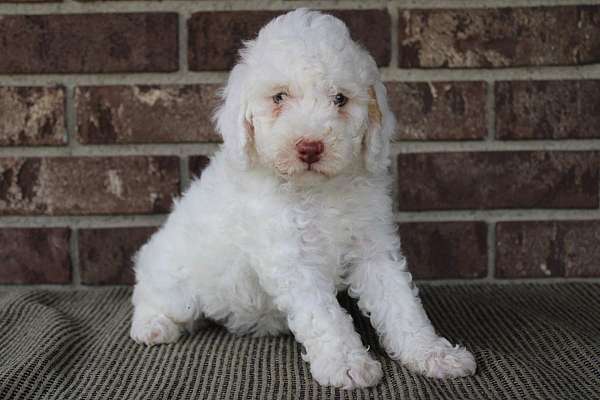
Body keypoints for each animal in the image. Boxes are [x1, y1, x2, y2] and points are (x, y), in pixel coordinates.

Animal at [129, 9, 476, 390]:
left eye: (340, 99)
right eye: (279, 97)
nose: (310, 147)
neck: (316, 190)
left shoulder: (373, 246)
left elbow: (400, 301)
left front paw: (433, 354)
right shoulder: (291, 258)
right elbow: (324, 316)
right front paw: (346, 364)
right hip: (175, 278)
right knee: (151, 295)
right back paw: (153, 326)